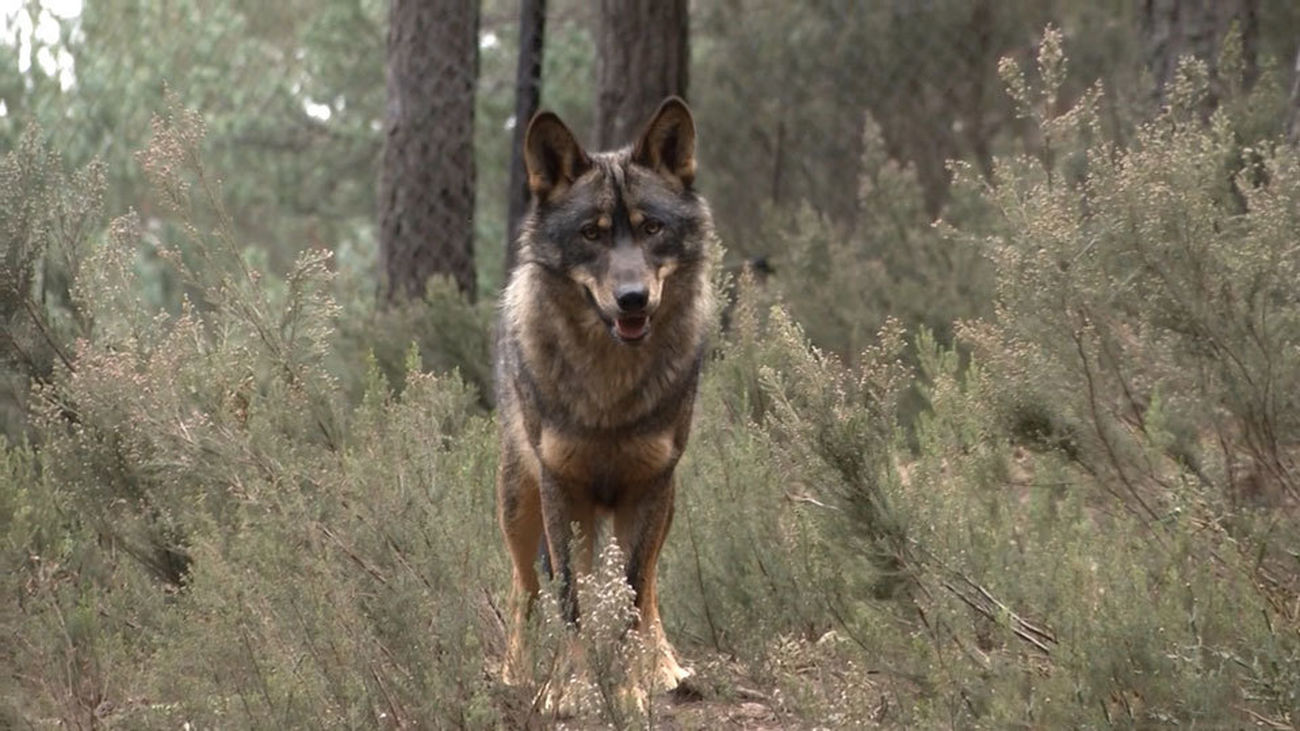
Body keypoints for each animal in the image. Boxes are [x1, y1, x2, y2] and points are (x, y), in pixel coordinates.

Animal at [495, 96, 714, 695]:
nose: (633, 299)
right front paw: (572, 692)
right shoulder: (561, 487)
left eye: (652, 228)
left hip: (661, 504)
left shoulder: (650, 484)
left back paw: (665, 667)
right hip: (520, 506)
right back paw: (515, 674)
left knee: (649, 584)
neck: (609, 391)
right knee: (525, 588)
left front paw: (633, 690)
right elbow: (570, 601)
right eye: (591, 234)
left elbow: (635, 597)